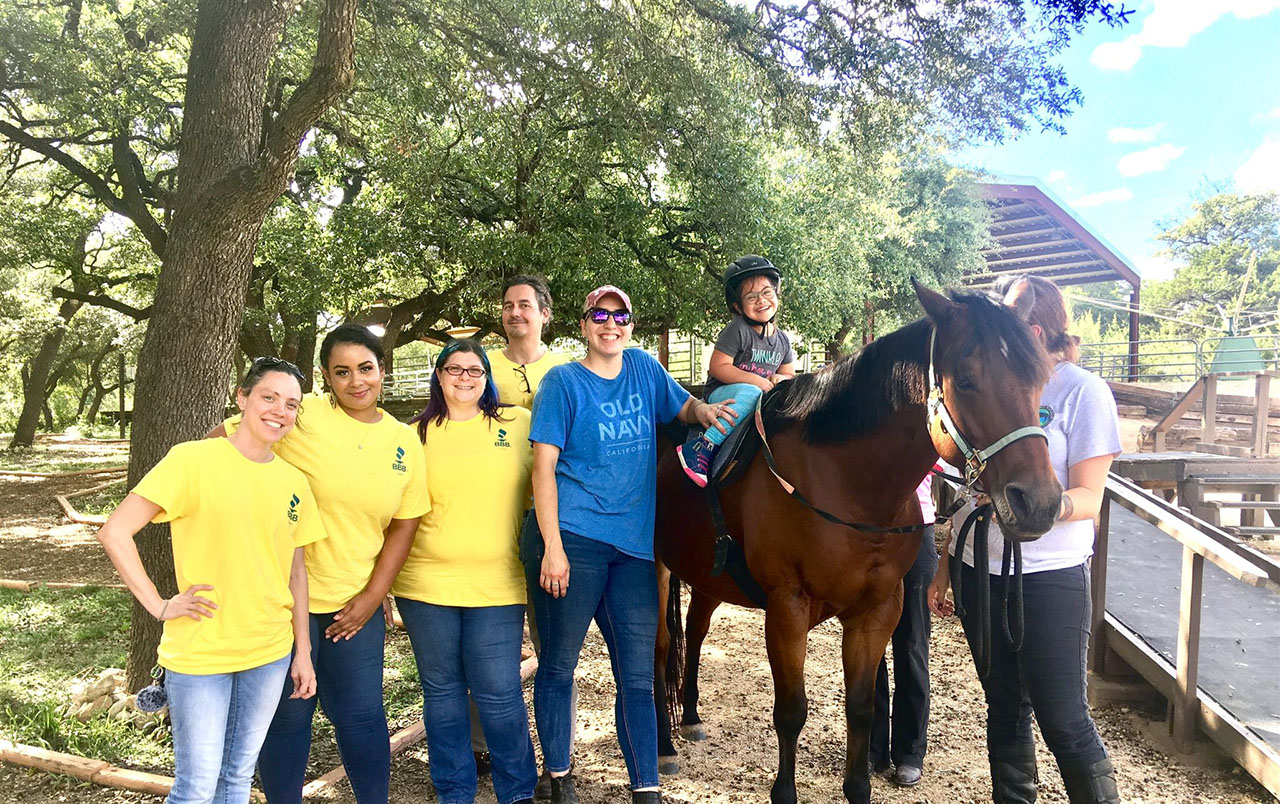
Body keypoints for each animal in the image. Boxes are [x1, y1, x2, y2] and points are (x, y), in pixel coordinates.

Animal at [650, 279, 1059, 798]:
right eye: (966, 379)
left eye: (1039, 377)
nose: (1039, 502)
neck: (846, 483)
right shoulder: (787, 609)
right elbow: (791, 711)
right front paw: (784, 792)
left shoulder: (877, 611)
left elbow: (862, 708)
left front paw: (858, 786)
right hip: (655, 570)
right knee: (660, 649)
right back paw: (662, 744)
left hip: (707, 576)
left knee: (696, 632)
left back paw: (691, 715)